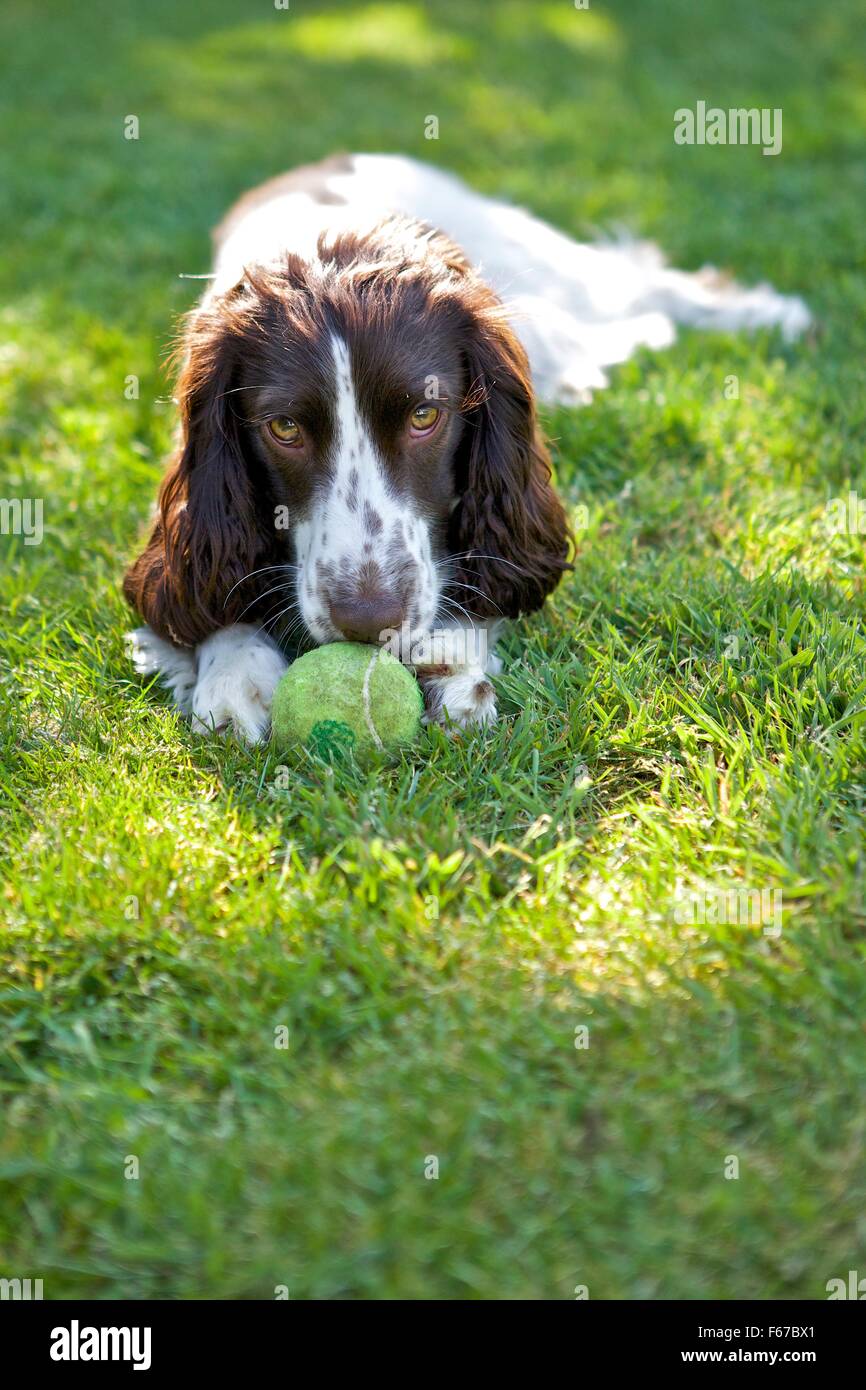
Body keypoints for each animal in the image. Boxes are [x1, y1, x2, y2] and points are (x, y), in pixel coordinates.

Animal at [123, 153, 811, 745]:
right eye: (284, 428)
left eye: (426, 415)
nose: (368, 623)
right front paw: (235, 674)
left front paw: (454, 658)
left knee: (635, 283)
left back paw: (769, 313)